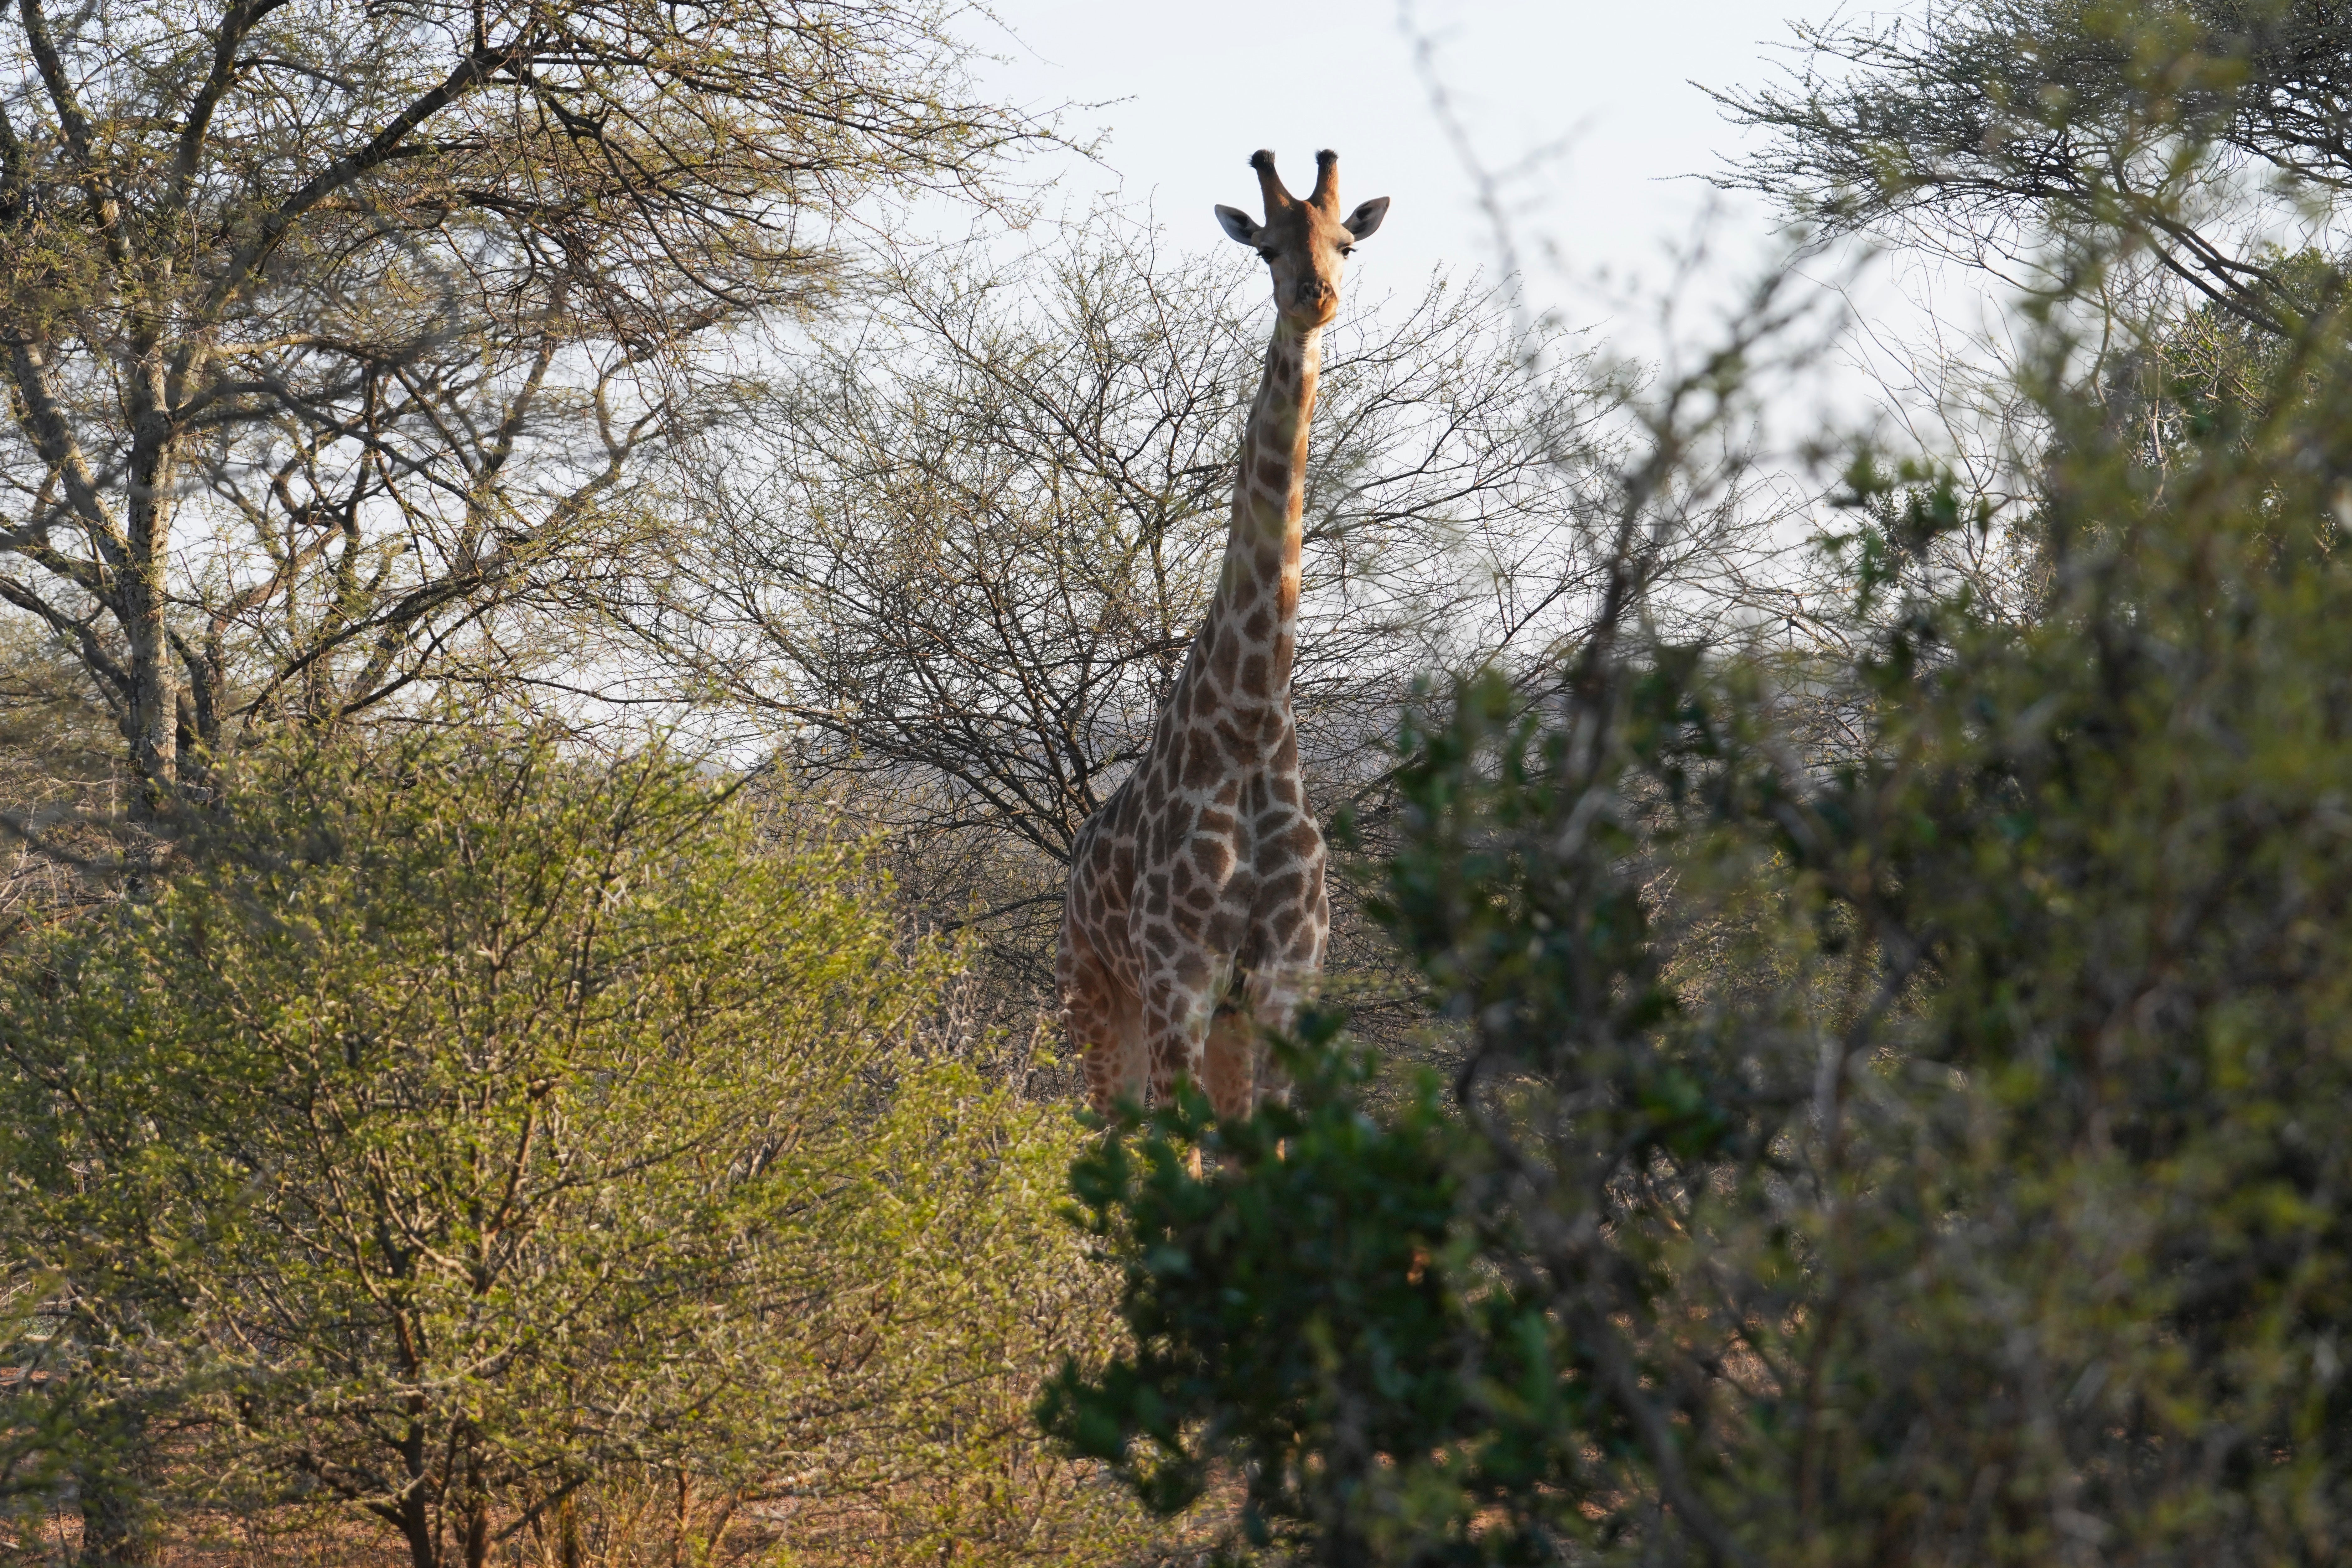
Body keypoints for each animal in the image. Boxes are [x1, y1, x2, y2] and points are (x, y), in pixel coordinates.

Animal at [1058, 147, 1383, 1124]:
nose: (1314, 295)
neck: (1249, 720)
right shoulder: (1180, 983)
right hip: (1097, 995)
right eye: (1266, 246)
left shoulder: (1280, 986)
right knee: (1106, 1131)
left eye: (1346, 242)